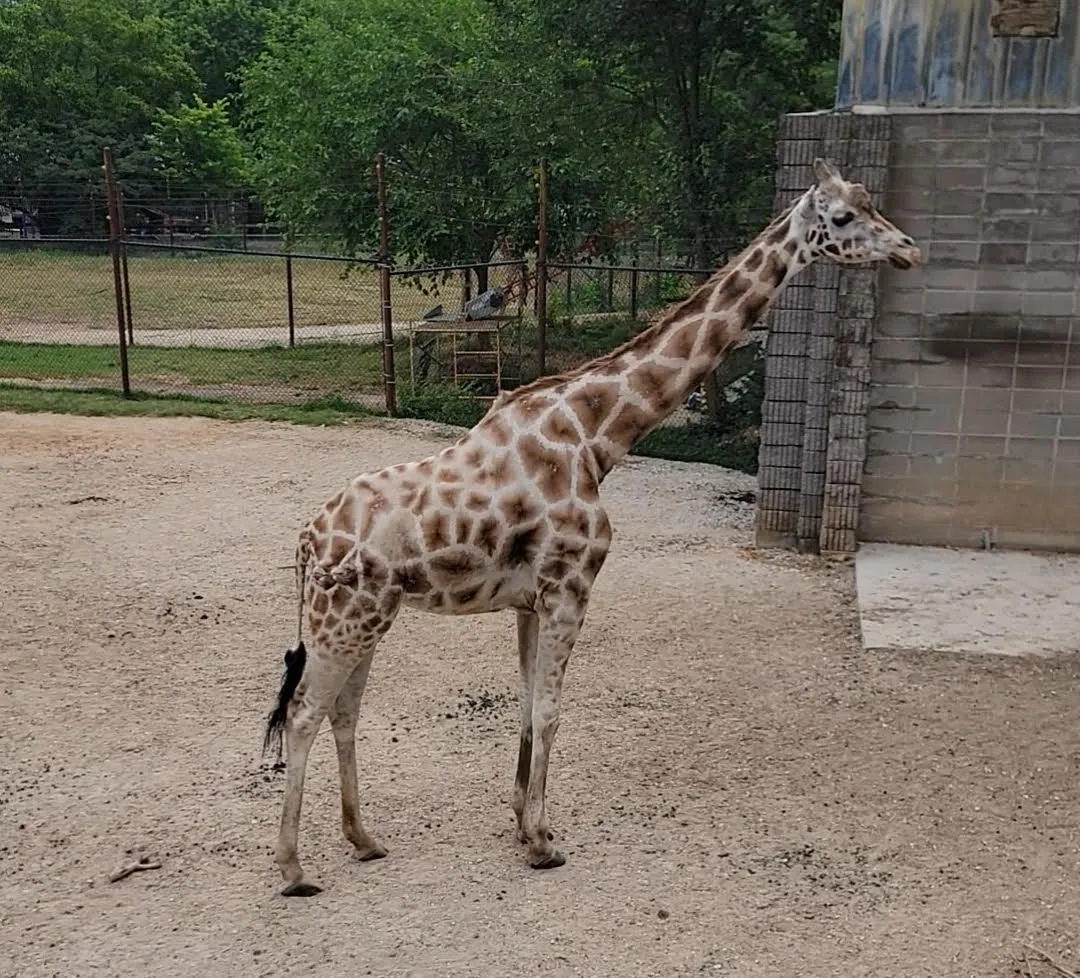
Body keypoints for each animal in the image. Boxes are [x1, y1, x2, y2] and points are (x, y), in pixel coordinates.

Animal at [263, 158, 921, 896]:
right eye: (841, 217)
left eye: (871, 202)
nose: (909, 250)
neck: (598, 433)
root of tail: (306, 542)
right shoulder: (570, 587)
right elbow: (551, 707)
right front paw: (543, 842)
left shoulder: (529, 599)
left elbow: (527, 703)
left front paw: (520, 821)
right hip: (344, 619)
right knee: (302, 714)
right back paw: (293, 867)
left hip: (370, 617)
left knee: (343, 712)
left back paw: (365, 839)